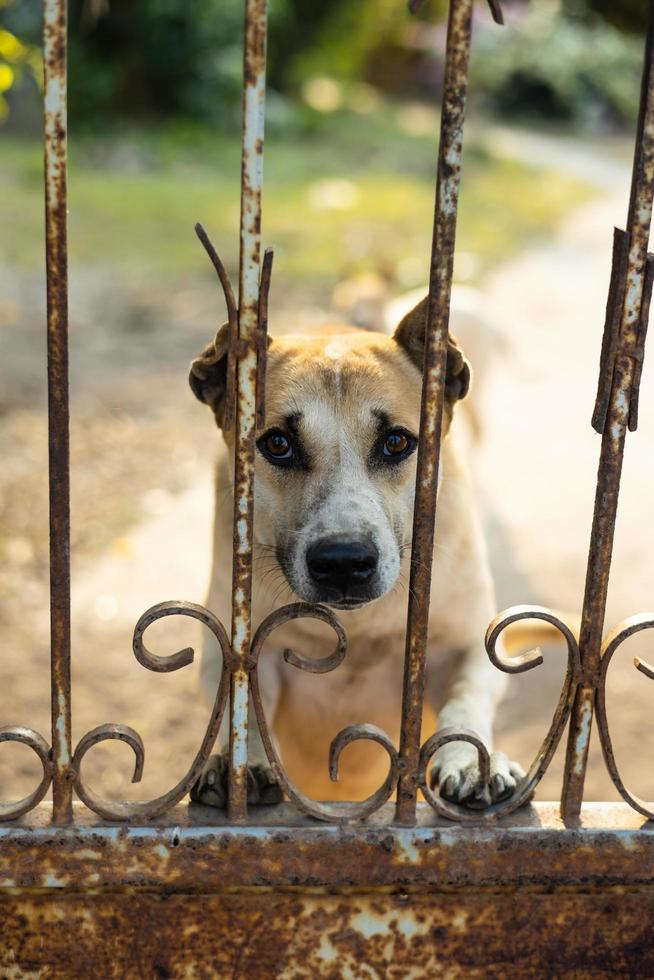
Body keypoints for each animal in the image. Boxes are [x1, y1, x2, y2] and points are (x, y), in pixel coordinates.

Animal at [187, 294, 524, 808]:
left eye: (397, 441)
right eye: (278, 443)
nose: (344, 562)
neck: (359, 628)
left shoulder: (468, 645)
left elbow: (466, 699)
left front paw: (470, 761)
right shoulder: (232, 650)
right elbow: (239, 701)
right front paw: (238, 762)